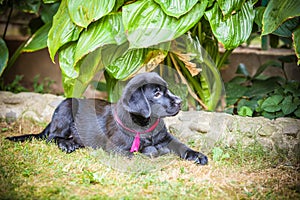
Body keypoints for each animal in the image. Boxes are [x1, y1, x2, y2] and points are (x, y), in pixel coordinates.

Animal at [7, 72, 209, 165]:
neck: (144, 127)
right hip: (66, 106)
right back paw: (66, 144)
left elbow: (181, 145)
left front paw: (197, 155)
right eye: (157, 93)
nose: (180, 102)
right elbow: (145, 152)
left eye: (167, 89)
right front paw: (154, 151)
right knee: (52, 137)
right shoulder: (116, 148)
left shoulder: (166, 138)